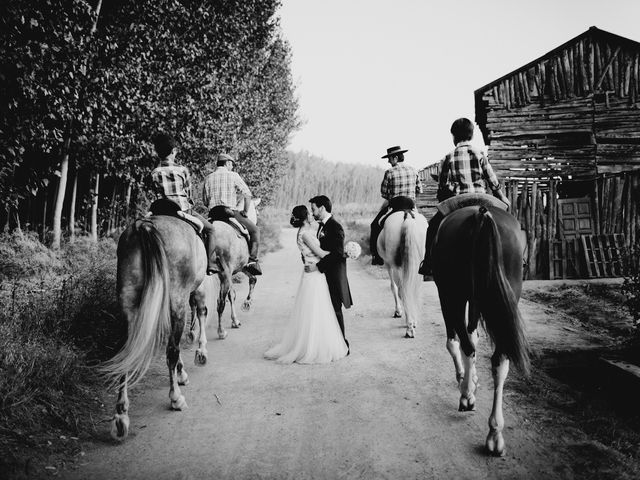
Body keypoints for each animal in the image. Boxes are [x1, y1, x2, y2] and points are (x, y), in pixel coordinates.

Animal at [101, 217, 209, 442]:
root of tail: (145, 225)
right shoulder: (197, 288)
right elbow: (201, 312)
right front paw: (200, 353)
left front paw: (182, 372)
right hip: (176, 299)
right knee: (171, 350)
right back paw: (176, 398)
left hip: (128, 300)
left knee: (126, 351)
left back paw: (121, 416)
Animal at [378, 209, 428, 338]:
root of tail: (408, 217)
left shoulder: (388, 264)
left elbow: (393, 287)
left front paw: (398, 311)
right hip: (417, 264)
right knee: (412, 290)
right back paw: (411, 322)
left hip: (396, 266)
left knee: (402, 290)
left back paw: (409, 326)